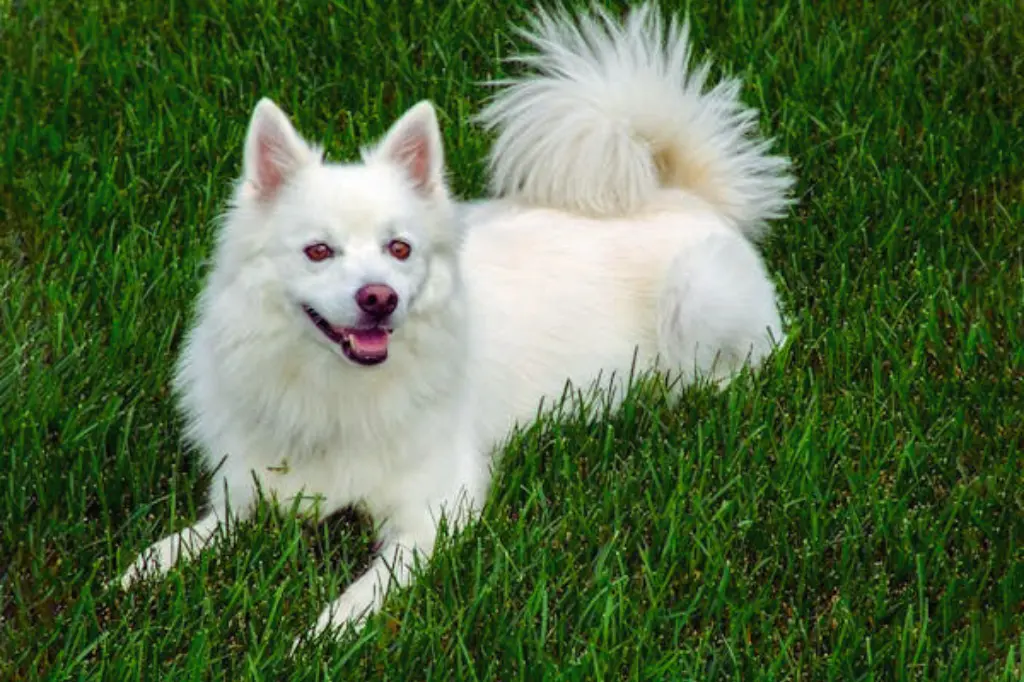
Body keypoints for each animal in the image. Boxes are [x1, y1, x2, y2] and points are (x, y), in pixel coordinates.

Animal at [117, 1, 790, 643]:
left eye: (399, 249)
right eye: (318, 251)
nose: (379, 298)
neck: (336, 388)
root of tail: (686, 195)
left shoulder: (437, 507)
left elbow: (373, 584)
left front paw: (327, 633)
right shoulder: (249, 488)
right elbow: (206, 530)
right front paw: (147, 567)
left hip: (700, 296)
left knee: (752, 361)